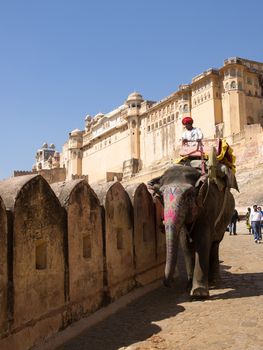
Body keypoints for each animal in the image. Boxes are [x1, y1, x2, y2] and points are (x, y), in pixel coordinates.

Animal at [152, 159, 236, 298]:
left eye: (188, 194)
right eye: (162, 194)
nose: (167, 283)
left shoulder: (208, 206)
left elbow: (202, 240)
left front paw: (199, 293)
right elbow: (185, 243)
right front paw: (188, 288)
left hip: (226, 218)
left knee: (215, 243)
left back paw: (215, 282)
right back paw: (210, 282)